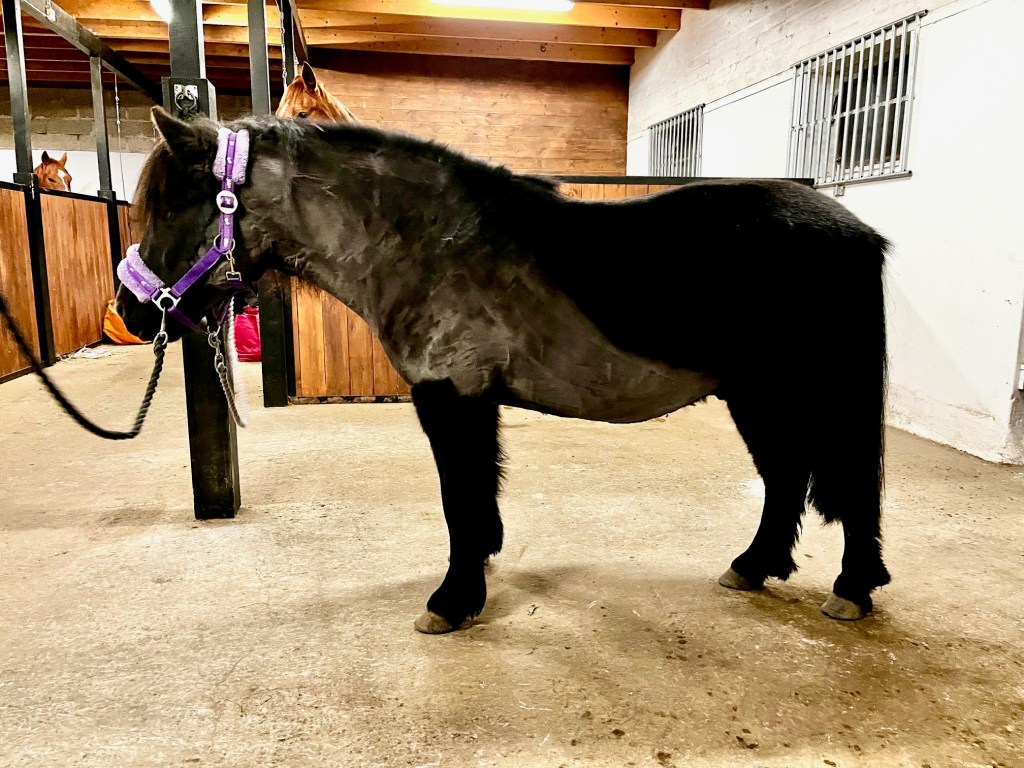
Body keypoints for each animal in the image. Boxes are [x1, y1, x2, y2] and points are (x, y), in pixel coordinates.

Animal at [116, 108, 892, 635]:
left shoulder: (451, 398)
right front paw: (478, 572)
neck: (424, 242)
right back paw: (753, 566)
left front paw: (453, 601)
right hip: (756, 395)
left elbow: (459, 498)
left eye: (174, 205)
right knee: (787, 477)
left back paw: (851, 589)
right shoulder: (468, 401)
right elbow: (477, 496)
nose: (130, 309)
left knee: (847, 483)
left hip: (813, 392)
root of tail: (859, 233)